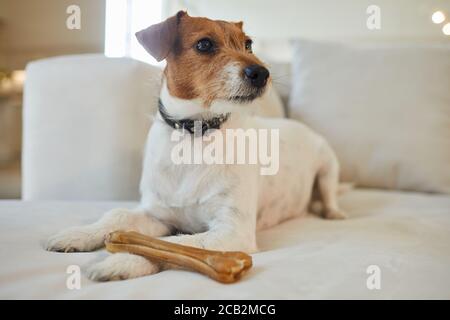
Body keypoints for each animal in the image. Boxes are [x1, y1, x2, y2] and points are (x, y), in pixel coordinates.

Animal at [45, 11, 346, 280]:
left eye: (248, 44)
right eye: (204, 44)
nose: (262, 73)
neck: (195, 133)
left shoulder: (232, 231)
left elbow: (174, 245)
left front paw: (125, 260)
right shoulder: (158, 214)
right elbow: (117, 216)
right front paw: (79, 234)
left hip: (328, 165)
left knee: (329, 194)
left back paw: (333, 212)